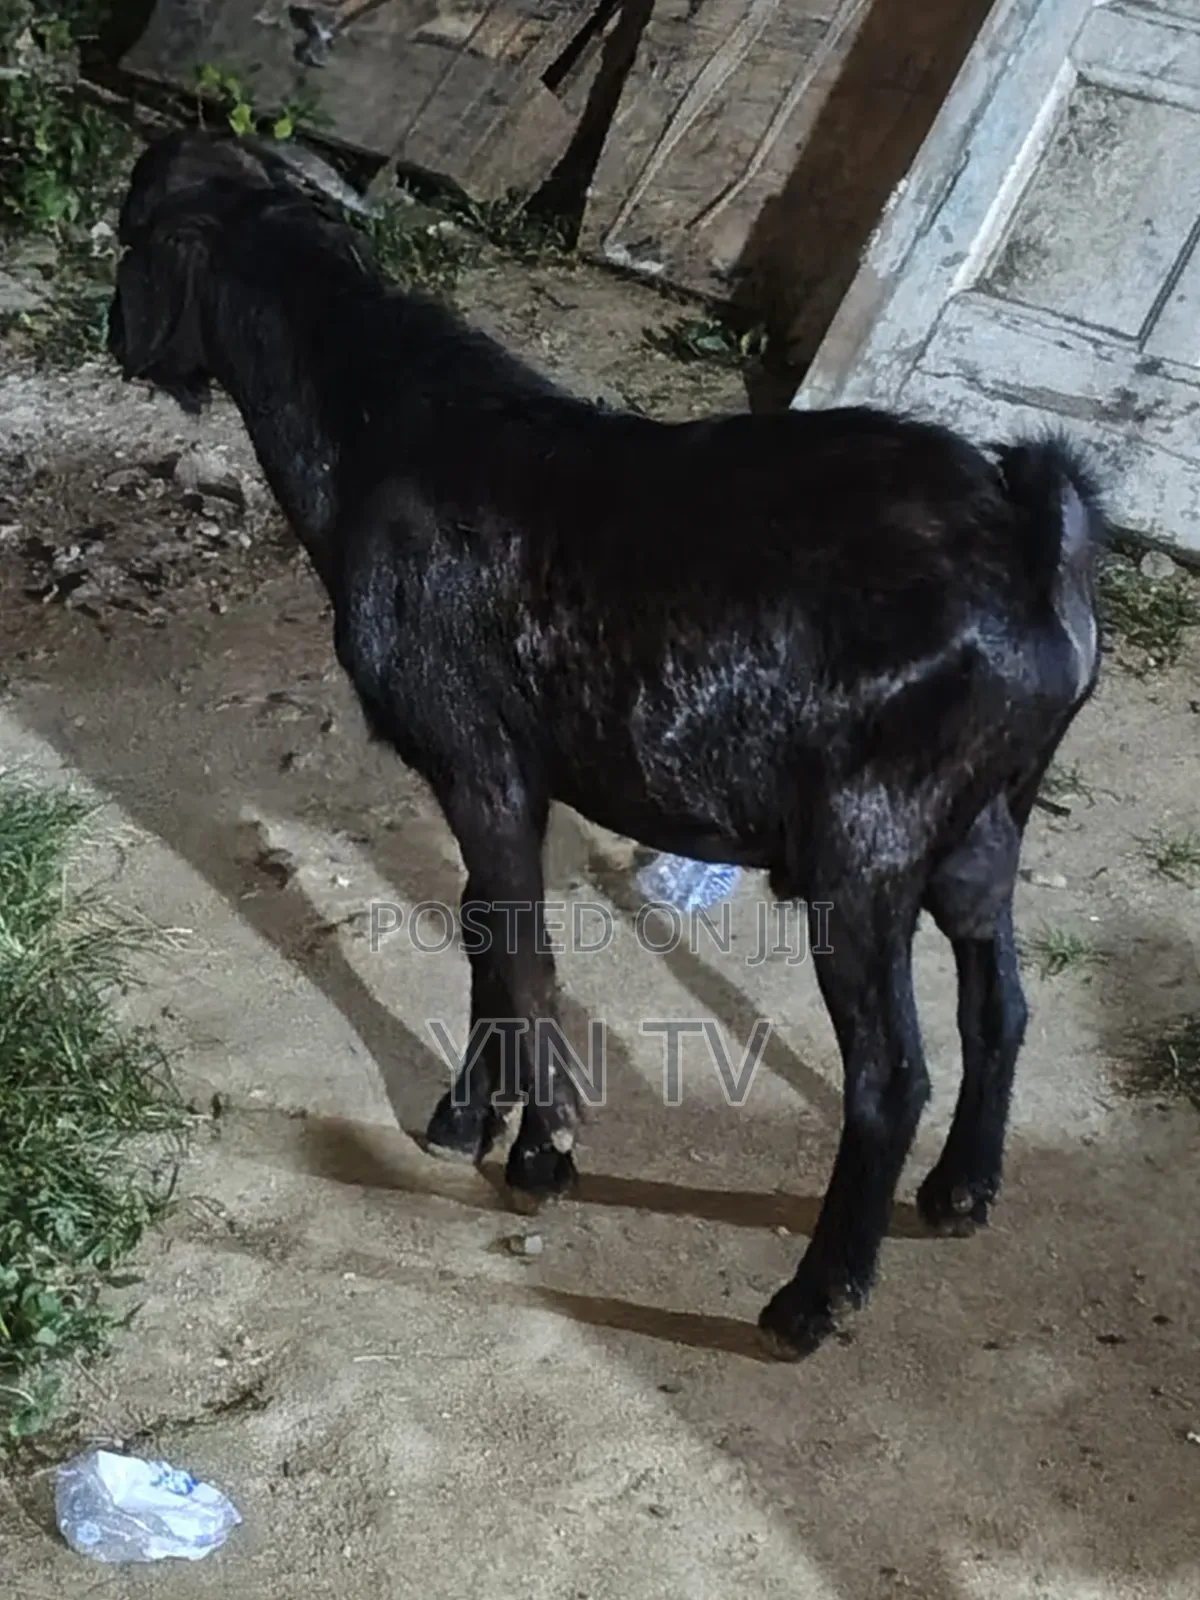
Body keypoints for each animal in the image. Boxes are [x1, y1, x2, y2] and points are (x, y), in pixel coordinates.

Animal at [106, 127, 1107, 1359]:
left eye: (130, 241)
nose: (112, 336)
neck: (389, 431)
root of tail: (1032, 537)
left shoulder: (481, 763)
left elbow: (522, 953)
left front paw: (539, 1152)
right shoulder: (497, 778)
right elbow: (491, 939)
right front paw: (473, 1119)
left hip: (865, 850)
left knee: (888, 1075)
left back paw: (812, 1299)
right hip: (986, 824)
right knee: (998, 1001)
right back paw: (962, 1191)